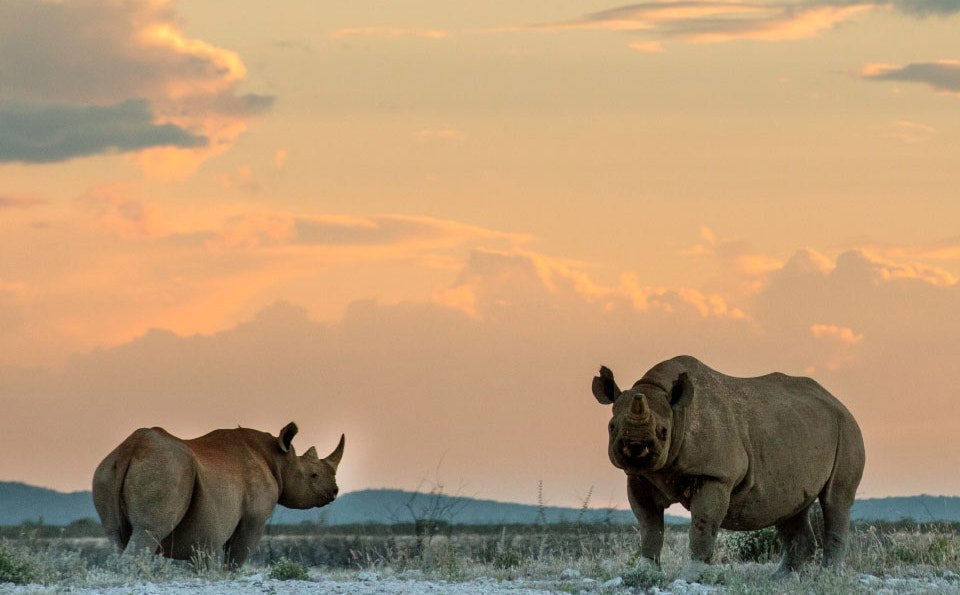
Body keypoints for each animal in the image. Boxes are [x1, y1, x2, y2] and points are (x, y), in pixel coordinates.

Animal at [92, 422, 344, 567]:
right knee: (148, 531)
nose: (334, 492)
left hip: (106, 471)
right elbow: (237, 557)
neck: (280, 460)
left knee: (115, 535)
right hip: (165, 470)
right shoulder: (254, 517)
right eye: (313, 475)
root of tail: (130, 449)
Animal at [592, 355, 864, 580]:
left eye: (663, 431)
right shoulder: (640, 477)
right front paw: (645, 572)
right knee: (789, 506)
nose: (635, 448)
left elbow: (703, 523)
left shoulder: (715, 475)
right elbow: (649, 525)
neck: (676, 411)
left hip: (847, 428)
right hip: (797, 431)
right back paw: (781, 578)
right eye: (612, 426)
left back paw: (828, 576)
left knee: (835, 500)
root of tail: (837, 401)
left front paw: (692, 576)